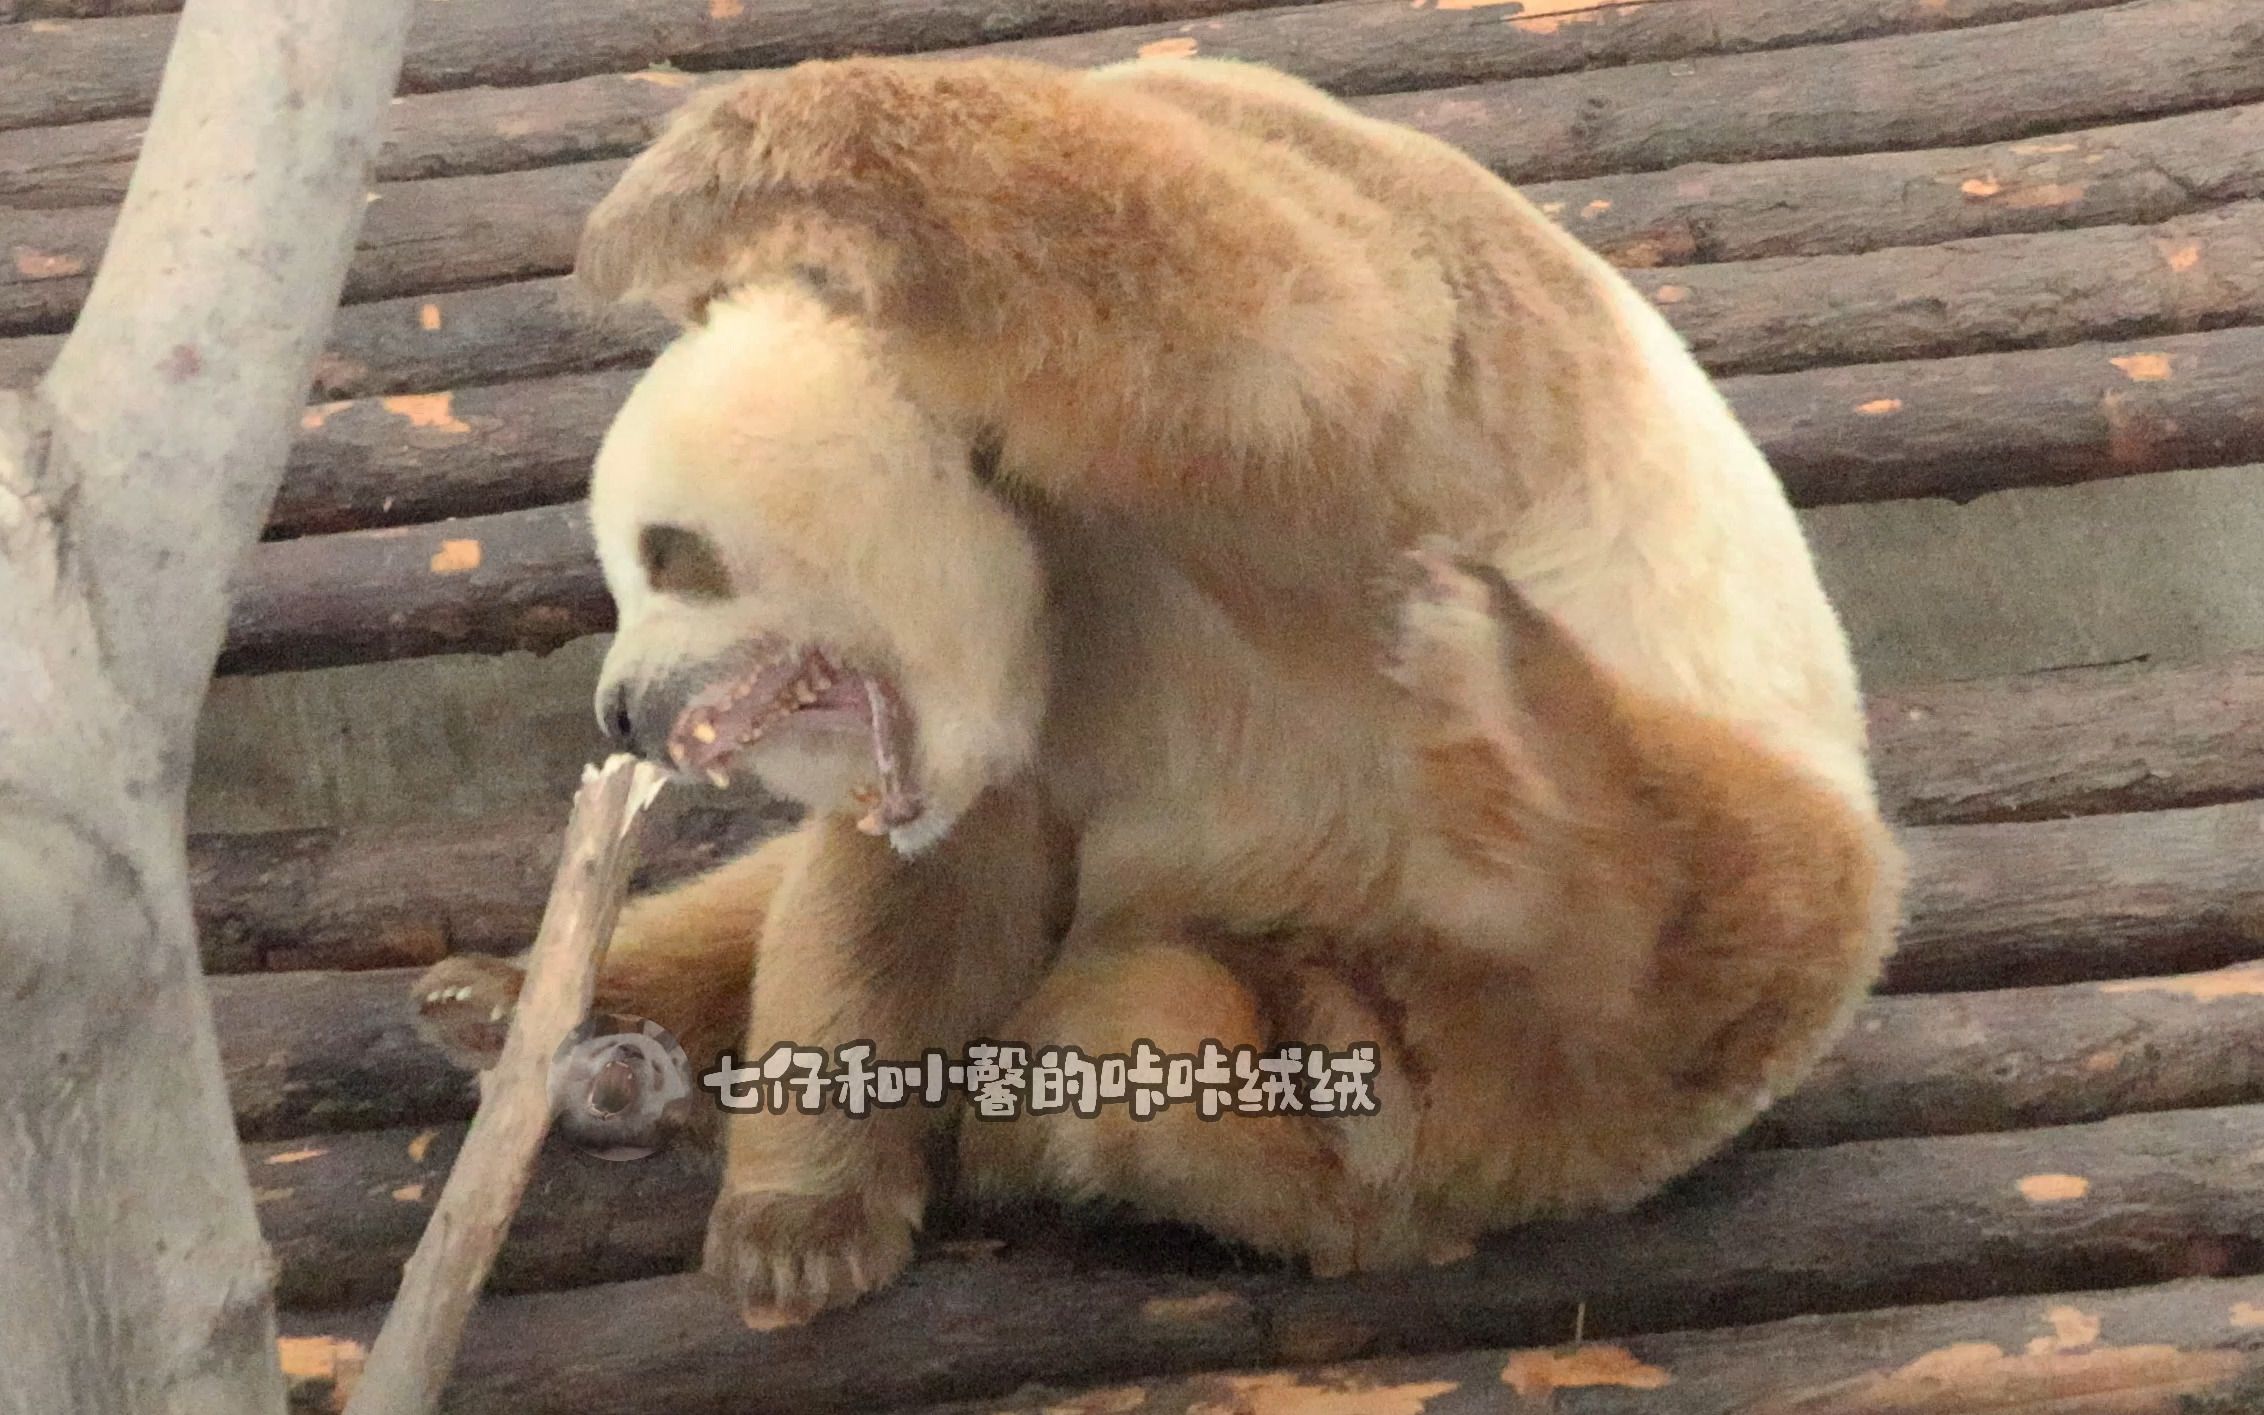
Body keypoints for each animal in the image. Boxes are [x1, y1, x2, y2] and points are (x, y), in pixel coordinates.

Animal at [413, 54, 1904, 1325]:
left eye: (670, 551)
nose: (623, 710)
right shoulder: (1053, 679)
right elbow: (911, 899)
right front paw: (803, 1226)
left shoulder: (1368, 417)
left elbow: (1263, 288)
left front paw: (666, 204)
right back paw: (518, 1004)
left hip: (1611, 1016)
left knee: (1715, 907)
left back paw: (1508, 713)